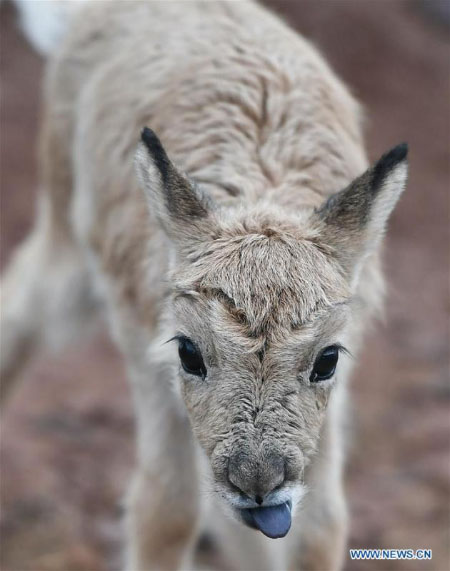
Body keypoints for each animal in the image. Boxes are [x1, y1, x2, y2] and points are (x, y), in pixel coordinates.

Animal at [0, 2, 408, 568]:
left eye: (327, 359)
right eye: (189, 352)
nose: (257, 484)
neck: (261, 189)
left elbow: (321, 529)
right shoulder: (150, 359)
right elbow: (165, 513)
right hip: (66, 249)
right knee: (20, 305)